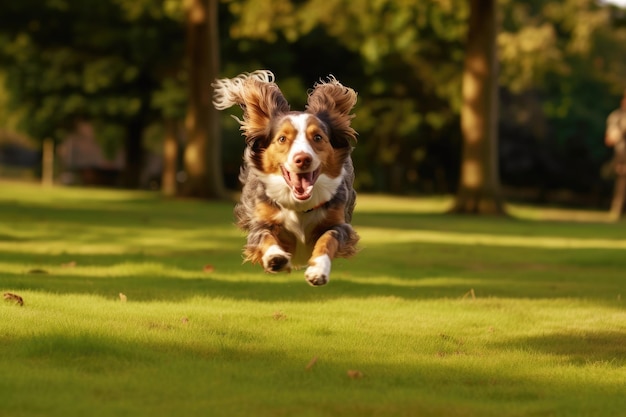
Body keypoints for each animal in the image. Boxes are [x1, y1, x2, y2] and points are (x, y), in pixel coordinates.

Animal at [212, 70, 358, 286]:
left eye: (318, 137)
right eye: (282, 138)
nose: (303, 159)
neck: (300, 205)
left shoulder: (339, 224)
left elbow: (328, 239)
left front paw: (318, 270)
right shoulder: (260, 222)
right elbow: (265, 236)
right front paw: (275, 257)